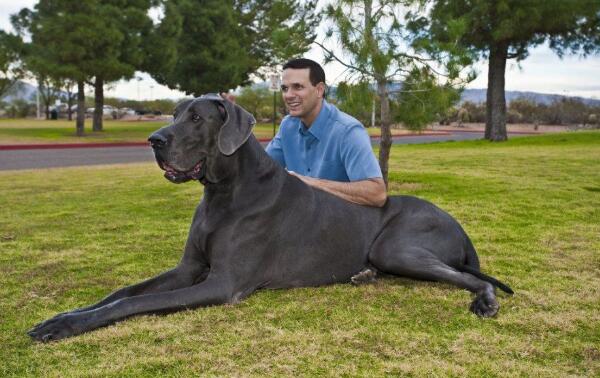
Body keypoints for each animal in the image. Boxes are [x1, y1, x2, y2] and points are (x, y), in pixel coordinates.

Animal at [28, 94, 512, 342]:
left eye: (197, 118)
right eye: (173, 114)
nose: (153, 140)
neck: (223, 192)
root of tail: (460, 226)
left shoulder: (223, 283)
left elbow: (134, 303)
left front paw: (68, 325)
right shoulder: (188, 268)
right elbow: (122, 292)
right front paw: (62, 317)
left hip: (396, 247)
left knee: (474, 278)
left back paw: (485, 300)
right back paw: (363, 275)